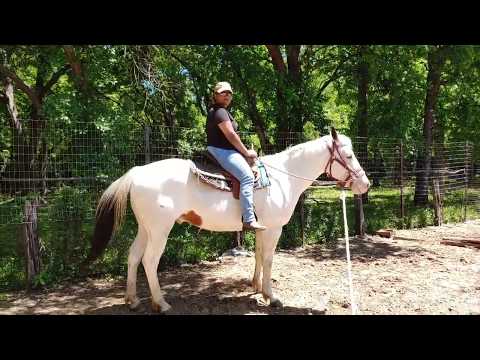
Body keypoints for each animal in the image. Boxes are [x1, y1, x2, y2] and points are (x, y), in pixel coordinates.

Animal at [85, 127, 372, 312]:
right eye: (348, 156)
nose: (365, 184)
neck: (283, 177)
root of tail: (136, 172)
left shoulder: (261, 228)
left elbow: (258, 256)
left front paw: (256, 287)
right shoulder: (274, 229)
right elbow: (268, 259)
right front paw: (271, 296)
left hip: (145, 228)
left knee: (133, 256)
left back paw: (132, 300)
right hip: (159, 230)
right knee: (149, 261)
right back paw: (161, 303)